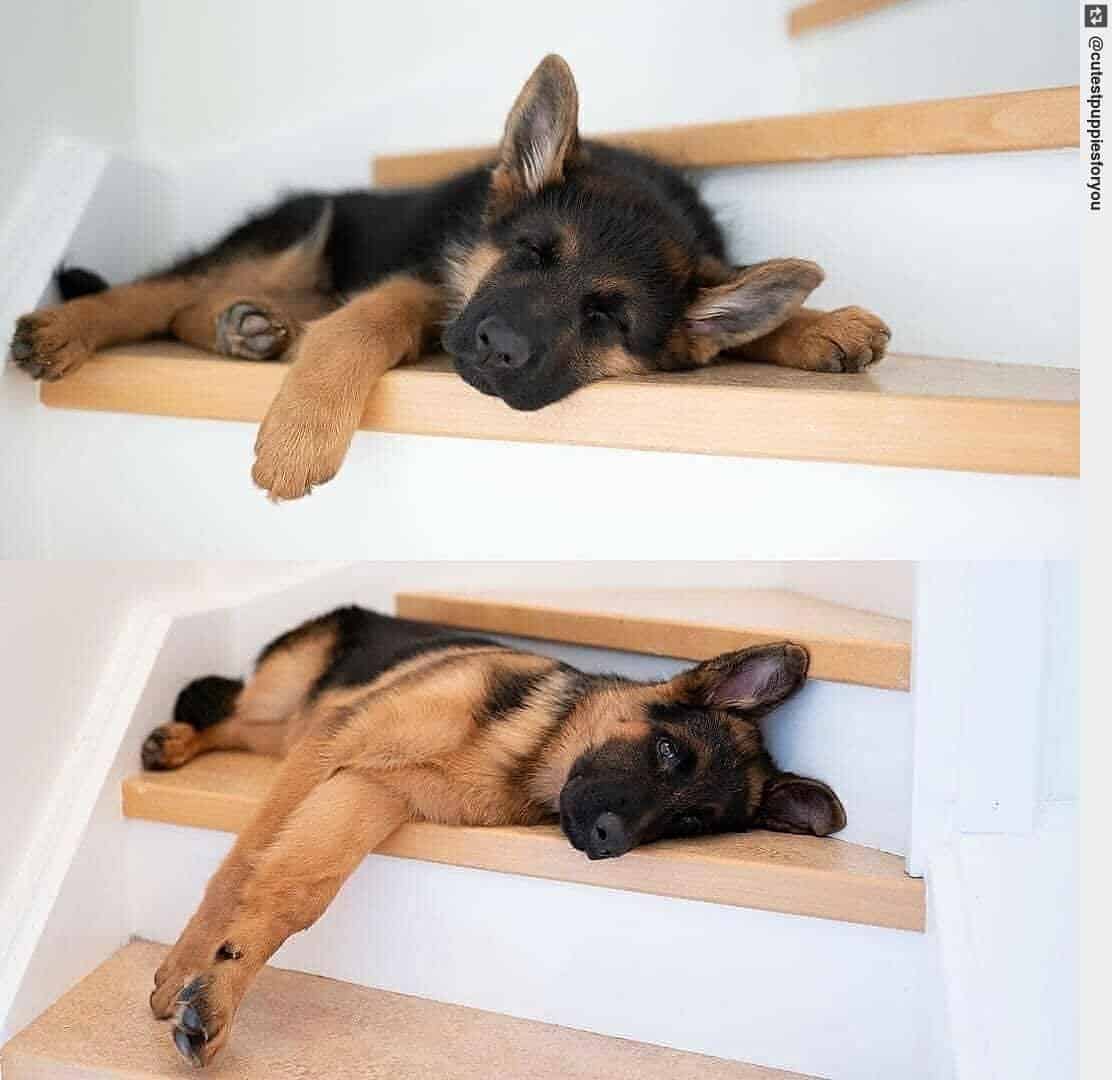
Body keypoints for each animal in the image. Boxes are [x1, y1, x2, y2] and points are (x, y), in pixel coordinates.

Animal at [8, 55, 889, 502]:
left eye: (607, 318)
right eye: (531, 254)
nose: (498, 347)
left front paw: (820, 324)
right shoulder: (434, 284)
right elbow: (367, 318)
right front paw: (302, 434)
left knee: (202, 305)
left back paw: (248, 328)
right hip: (294, 230)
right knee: (161, 291)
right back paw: (69, 327)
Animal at [143, 605, 845, 1067]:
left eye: (691, 823)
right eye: (668, 752)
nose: (608, 841)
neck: (527, 750)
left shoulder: (372, 790)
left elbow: (296, 889)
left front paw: (218, 991)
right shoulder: (336, 743)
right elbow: (240, 864)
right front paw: (185, 966)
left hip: (303, 734)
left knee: (255, 731)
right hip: (297, 701)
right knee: (238, 713)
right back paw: (176, 741)